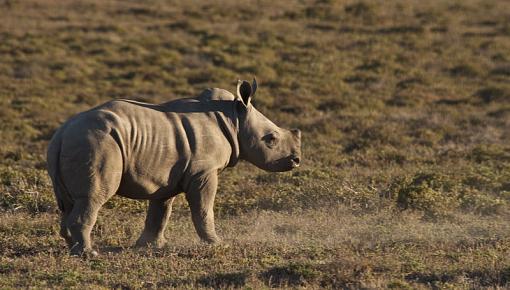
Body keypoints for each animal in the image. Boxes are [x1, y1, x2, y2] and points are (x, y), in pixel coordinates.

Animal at [45, 80, 300, 256]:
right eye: (271, 139)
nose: (296, 160)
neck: (234, 120)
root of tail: (61, 134)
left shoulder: (165, 175)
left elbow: (160, 211)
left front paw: (150, 246)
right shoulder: (203, 171)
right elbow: (203, 208)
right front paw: (217, 244)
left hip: (77, 143)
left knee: (68, 203)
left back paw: (74, 249)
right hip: (95, 143)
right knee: (92, 198)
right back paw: (89, 254)